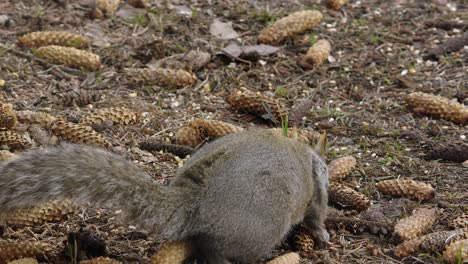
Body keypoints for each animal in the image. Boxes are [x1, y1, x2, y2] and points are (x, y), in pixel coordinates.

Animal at [0, 129, 330, 262]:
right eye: (326, 170)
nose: (326, 172)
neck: (305, 154)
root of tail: (198, 201)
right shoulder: (314, 195)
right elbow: (315, 216)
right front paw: (323, 234)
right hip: (263, 228)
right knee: (214, 251)